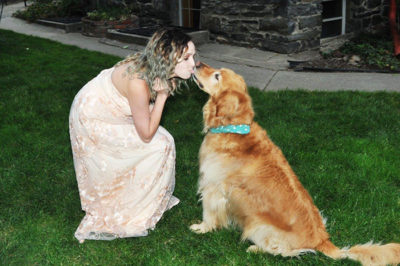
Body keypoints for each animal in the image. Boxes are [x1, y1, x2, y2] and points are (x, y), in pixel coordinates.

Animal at [190, 62, 400, 266]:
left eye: (217, 76)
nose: (197, 63)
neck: (233, 128)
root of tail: (322, 241)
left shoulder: (213, 187)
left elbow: (209, 214)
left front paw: (202, 228)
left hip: (258, 225)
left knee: (282, 251)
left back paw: (255, 248)